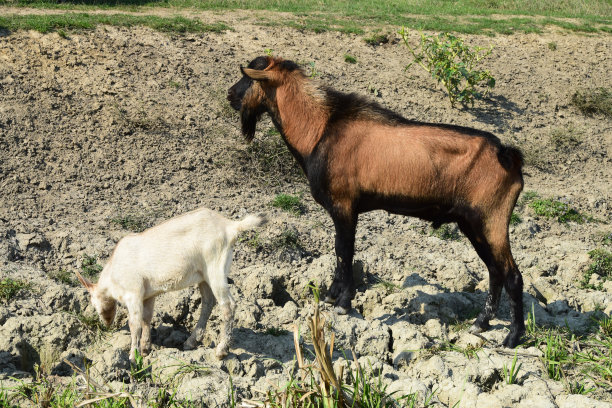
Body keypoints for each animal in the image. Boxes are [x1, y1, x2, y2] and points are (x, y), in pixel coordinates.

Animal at [74, 207, 266, 360]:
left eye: (93, 303)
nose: (106, 324)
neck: (113, 273)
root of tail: (230, 226)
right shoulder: (147, 295)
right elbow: (146, 318)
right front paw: (145, 349)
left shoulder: (133, 293)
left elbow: (134, 324)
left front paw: (133, 356)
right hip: (204, 275)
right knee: (208, 302)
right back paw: (190, 342)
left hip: (215, 266)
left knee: (228, 305)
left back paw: (221, 350)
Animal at [230, 55, 524, 348]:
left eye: (249, 77)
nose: (230, 95)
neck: (321, 129)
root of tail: (506, 155)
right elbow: (340, 251)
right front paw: (331, 295)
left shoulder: (344, 206)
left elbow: (344, 251)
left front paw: (343, 303)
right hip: (472, 224)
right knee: (495, 271)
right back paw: (481, 323)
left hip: (491, 219)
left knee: (512, 275)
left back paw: (512, 337)